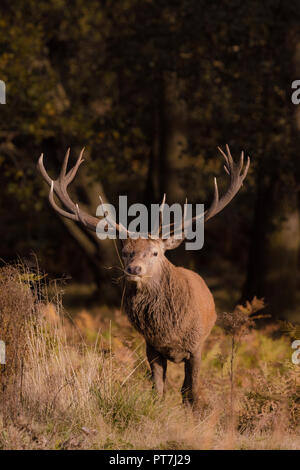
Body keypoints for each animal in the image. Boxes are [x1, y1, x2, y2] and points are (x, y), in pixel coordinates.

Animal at [38, 145, 251, 410]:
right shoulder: (152, 347)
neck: (169, 330)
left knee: (186, 390)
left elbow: (191, 392)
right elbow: (158, 391)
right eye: (125, 252)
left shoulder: (196, 347)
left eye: (155, 252)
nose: (134, 269)